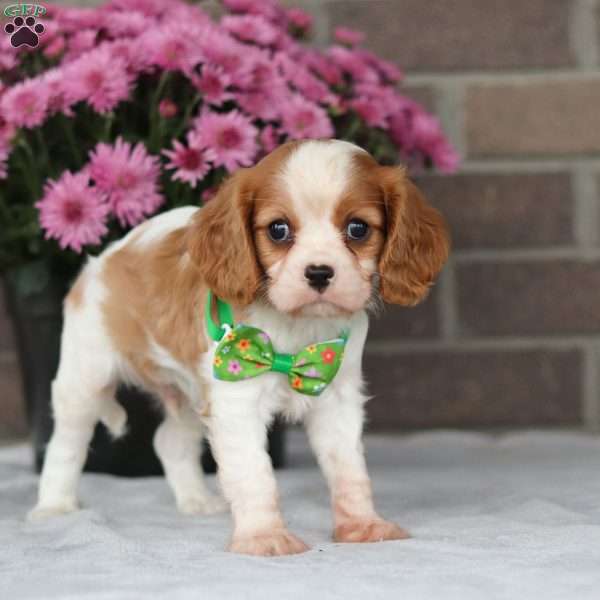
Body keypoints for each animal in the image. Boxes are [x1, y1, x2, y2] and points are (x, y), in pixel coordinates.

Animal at [29, 138, 450, 556]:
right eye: (278, 230)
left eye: (358, 228)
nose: (318, 273)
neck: (294, 329)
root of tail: (105, 258)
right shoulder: (237, 398)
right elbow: (254, 474)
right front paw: (264, 537)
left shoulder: (334, 395)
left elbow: (349, 471)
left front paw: (362, 526)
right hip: (85, 378)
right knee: (65, 443)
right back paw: (54, 507)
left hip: (191, 393)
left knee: (169, 442)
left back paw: (196, 501)